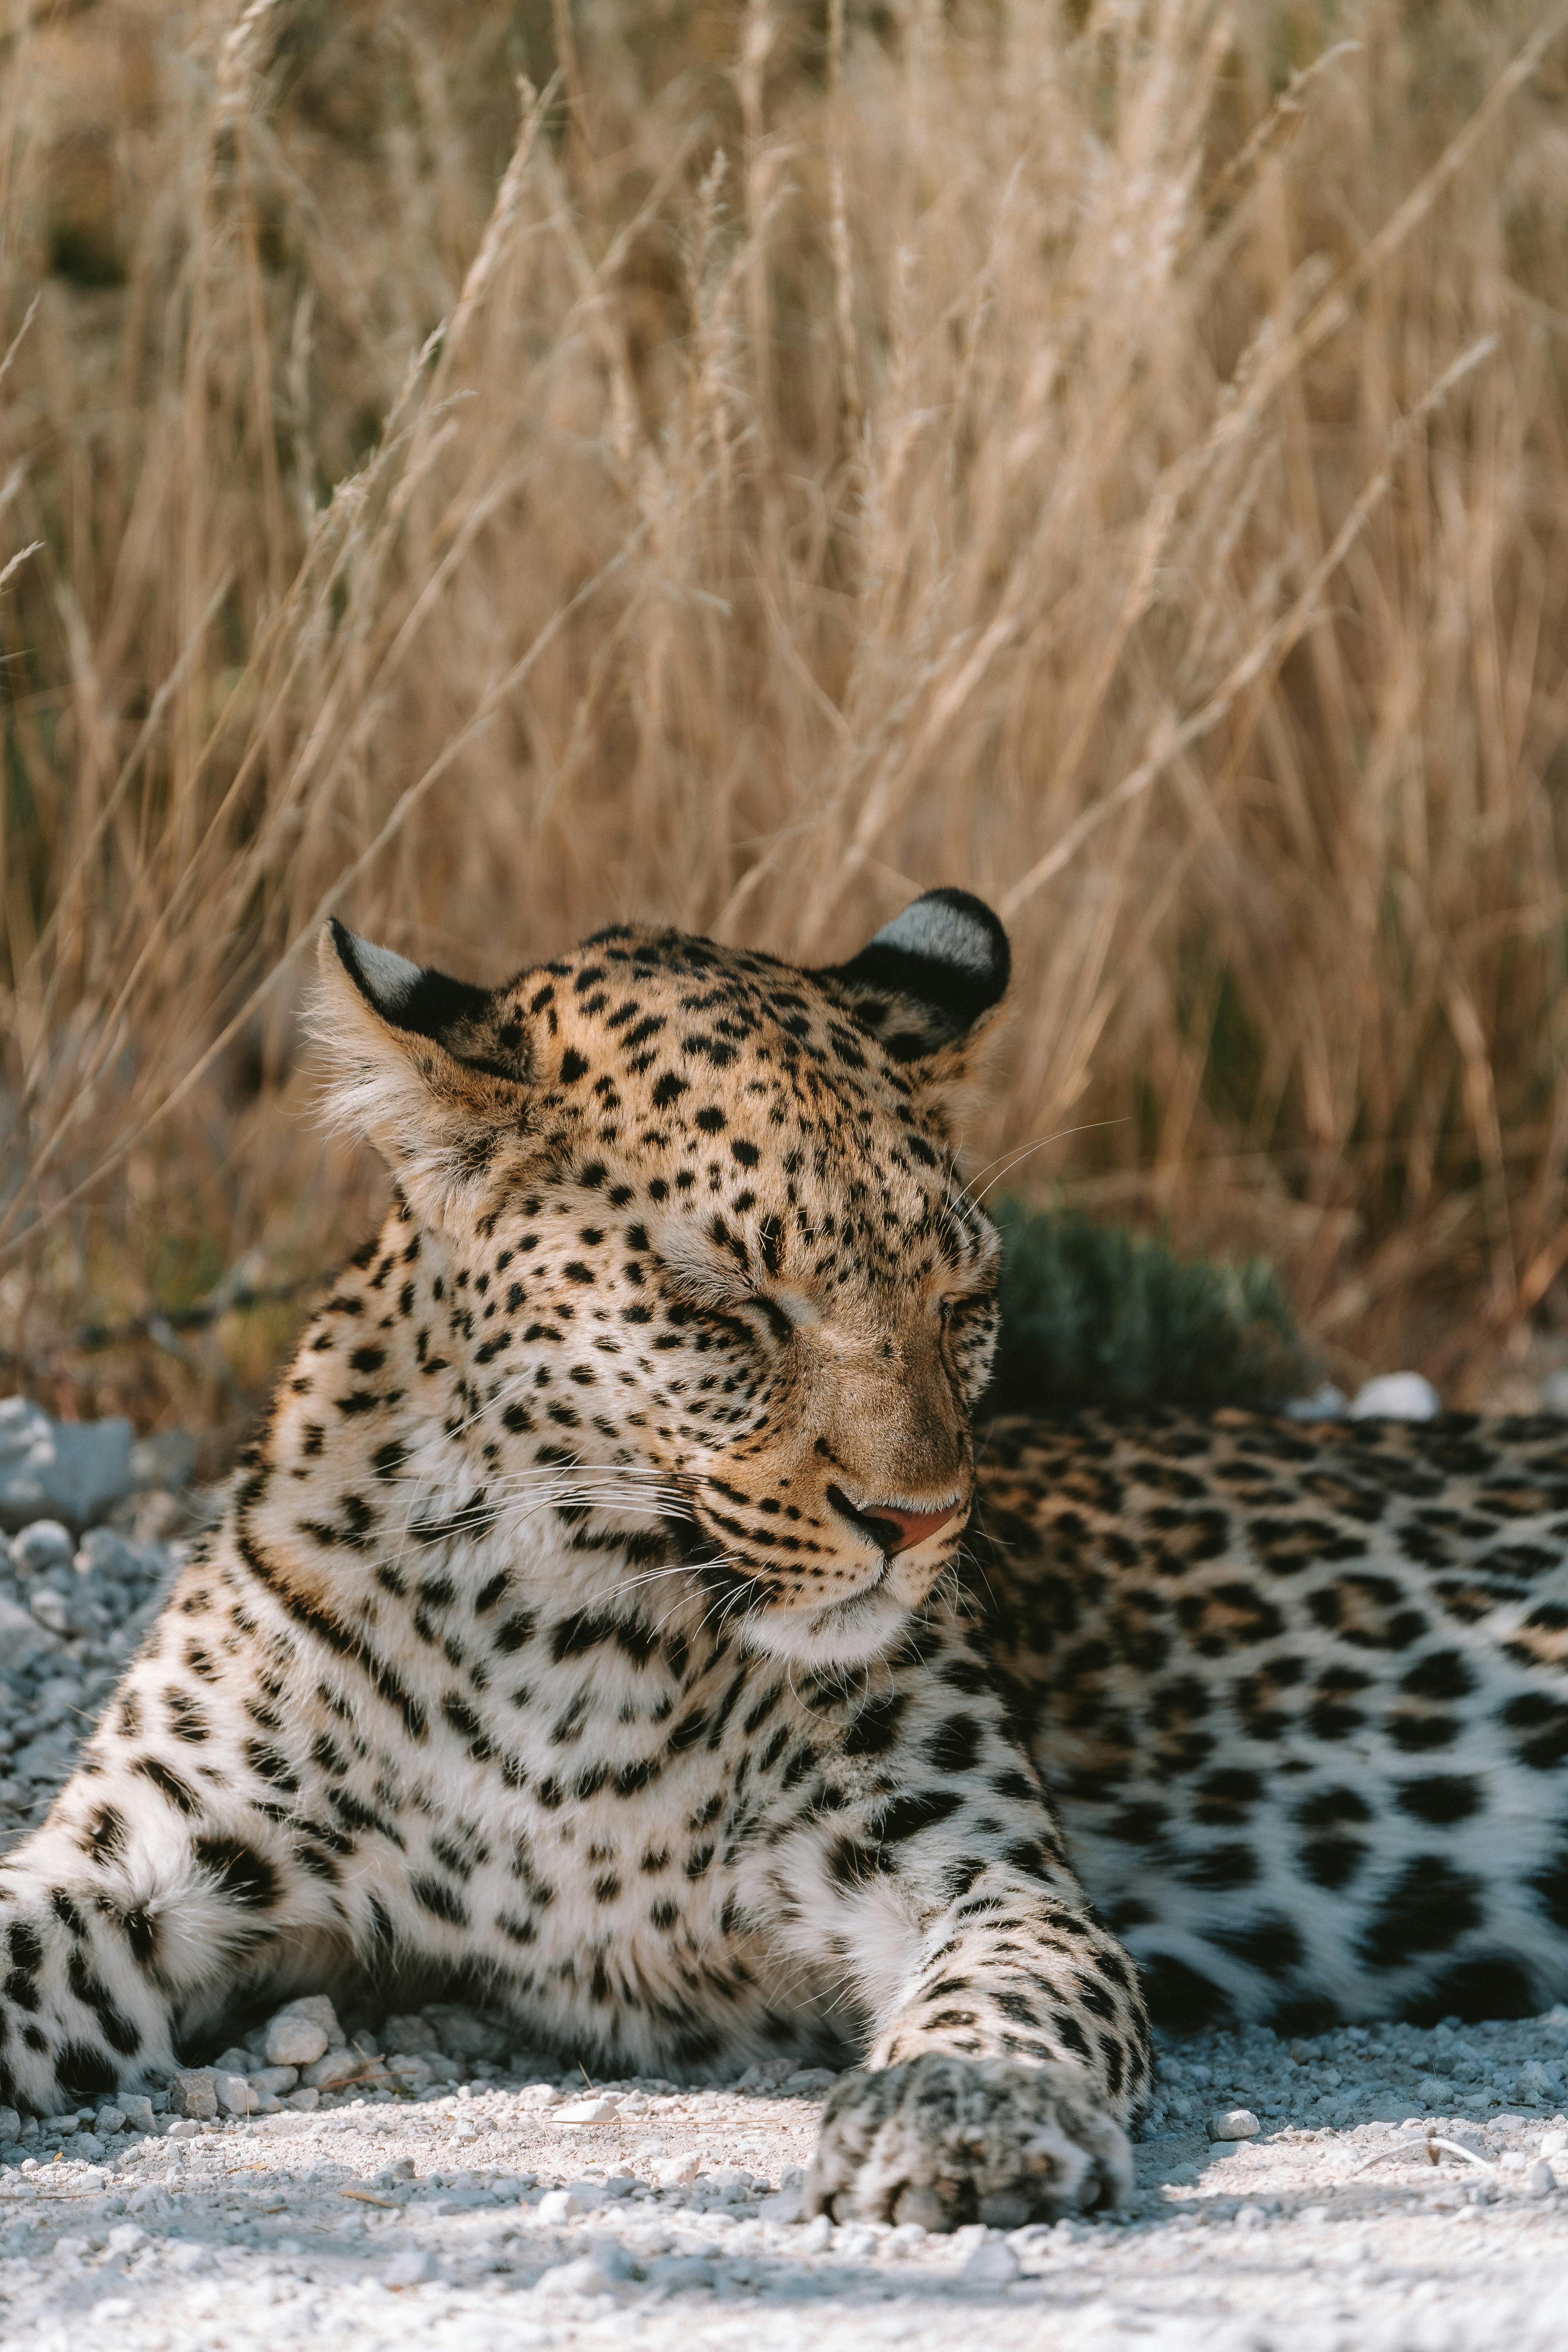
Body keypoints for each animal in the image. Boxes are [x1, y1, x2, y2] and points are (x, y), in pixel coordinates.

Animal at [0, 889, 1561, 2230]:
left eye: (963, 1298)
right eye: (729, 1306)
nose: (920, 1518)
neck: (557, 1624)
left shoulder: (974, 1872)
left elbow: (1007, 1998)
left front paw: (959, 2119)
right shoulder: (146, 1853)